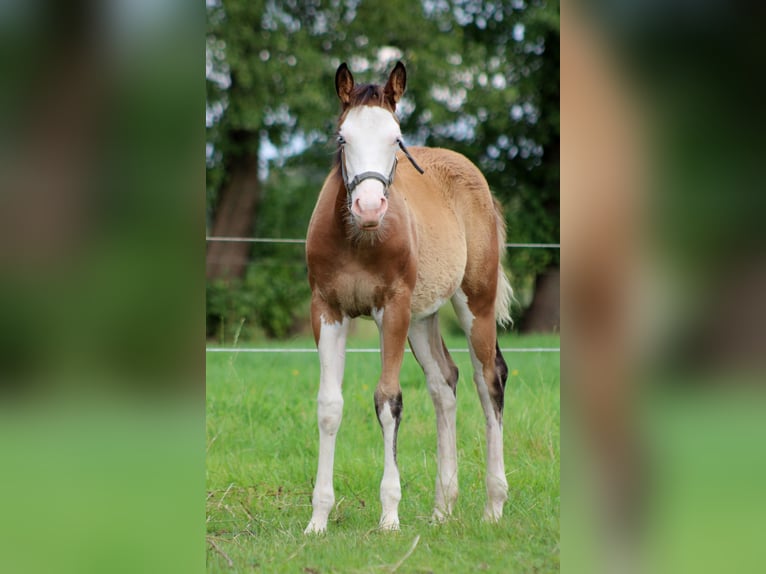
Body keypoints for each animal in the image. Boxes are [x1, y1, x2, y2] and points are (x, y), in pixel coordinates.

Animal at [304, 62, 512, 536]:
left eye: (396, 139)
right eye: (342, 138)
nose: (368, 207)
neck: (359, 239)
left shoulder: (392, 309)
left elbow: (389, 400)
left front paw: (389, 515)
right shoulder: (327, 310)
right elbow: (328, 406)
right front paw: (318, 519)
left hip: (476, 302)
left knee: (488, 379)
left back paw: (494, 505)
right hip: (423, 317)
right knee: (444, 383)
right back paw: (443, 508)